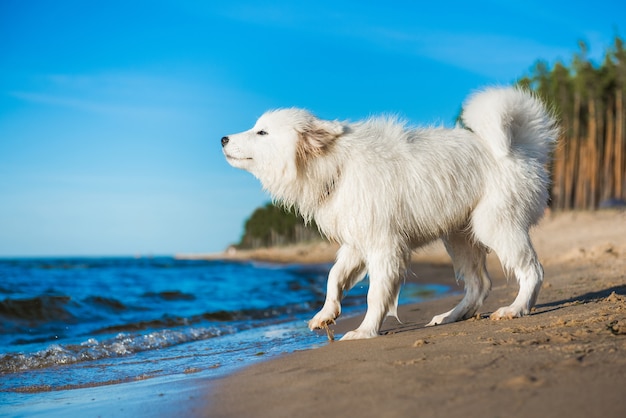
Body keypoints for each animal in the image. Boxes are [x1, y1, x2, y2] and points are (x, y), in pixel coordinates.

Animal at [219, 87, 556, 340]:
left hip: (494, 225)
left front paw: (365, 331)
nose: (223, 138)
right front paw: (327, 314)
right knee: (480, 284)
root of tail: (525, 148)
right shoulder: (357, 241)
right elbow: (333, 277)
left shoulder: (384, 245)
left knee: (532, 270)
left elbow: (375, 294)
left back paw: (515, 309)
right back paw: (451, 316)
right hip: (459, 236)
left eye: (262, 132)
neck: (336, 166)